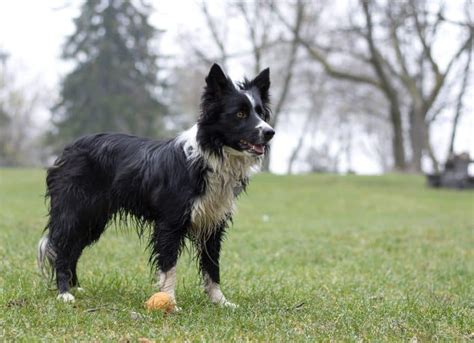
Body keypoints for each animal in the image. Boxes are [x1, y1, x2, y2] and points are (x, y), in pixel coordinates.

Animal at [38, 63, 274, 310]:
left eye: (260, 112)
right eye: (240, 114)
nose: (270, 132)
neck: (210, 155)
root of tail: (67, 150)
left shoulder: (213, 223)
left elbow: (212, 266)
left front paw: (220, 301)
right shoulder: (169, 223)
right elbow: (169, 266)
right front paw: (169, 301)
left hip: (94, 218)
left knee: (73, 249)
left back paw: (75, 287)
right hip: (75, 212)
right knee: (62, 249)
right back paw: (65, 293)